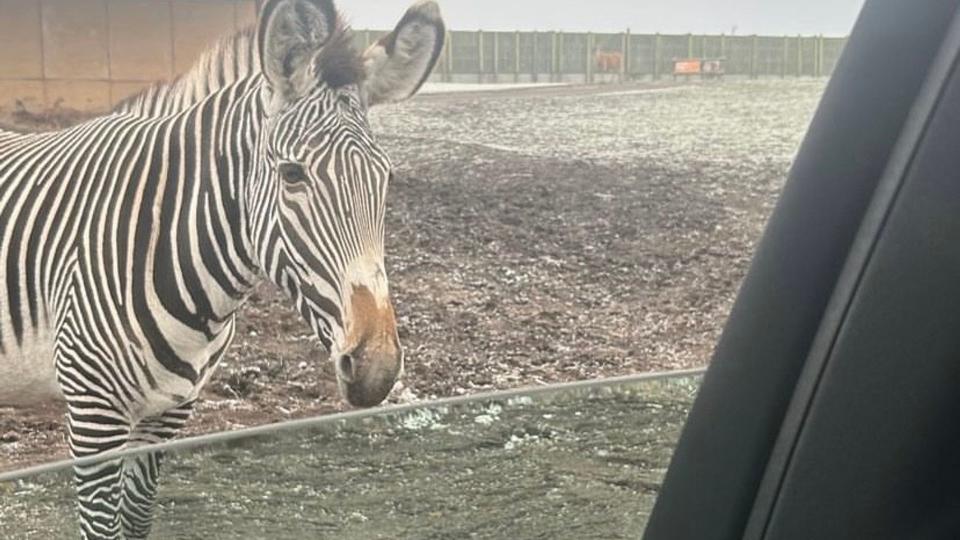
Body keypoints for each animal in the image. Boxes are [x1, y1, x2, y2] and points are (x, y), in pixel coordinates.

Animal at [0, 2, 442, 536]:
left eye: (386, 178)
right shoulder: (93, 410)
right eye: (292, 174)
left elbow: (137, 520)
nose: (377, 368)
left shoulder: (170, 410)